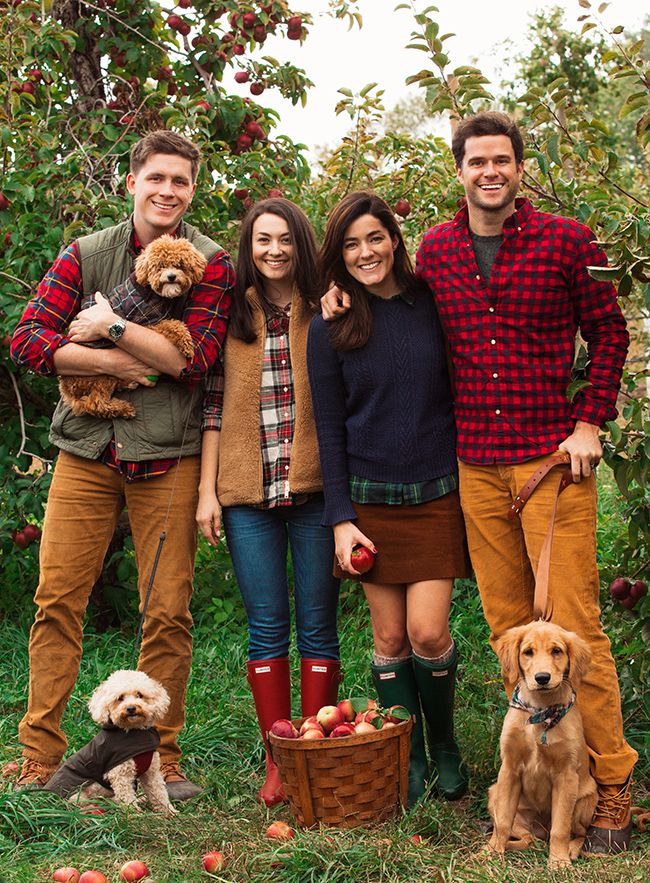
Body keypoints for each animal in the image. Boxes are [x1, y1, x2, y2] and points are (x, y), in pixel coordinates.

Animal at [44, 668, 176, 816]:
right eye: (120, 698)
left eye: (139, 695)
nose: (131, 708)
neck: (133, 732)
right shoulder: (120, 774)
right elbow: (127, 797)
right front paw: (133, 814)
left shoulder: (151, 772)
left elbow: (159, 793)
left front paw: (169, 812)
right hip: (78, 795)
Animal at [58, 237, 206, 420]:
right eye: (160, 266)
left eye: (180, 264)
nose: (171, 276)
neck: (150, 291)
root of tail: (65, 386)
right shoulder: (148, 324)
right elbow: (172, 325)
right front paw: (185, 343)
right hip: (101, 375)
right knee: (96, 403)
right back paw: (124, 408)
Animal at [486, 620, 596, 872]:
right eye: (528, 652)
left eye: (556, 651)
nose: (542, 678)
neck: (539, 712)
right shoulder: (509, 769)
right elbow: (503, 822)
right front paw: (491, 852)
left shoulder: (566, 776)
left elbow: (560, 829)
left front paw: (559, 861)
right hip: (494, 794)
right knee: (528, 839)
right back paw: (503, 845)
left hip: (586, 799)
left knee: (578, 833)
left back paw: (571, 850)